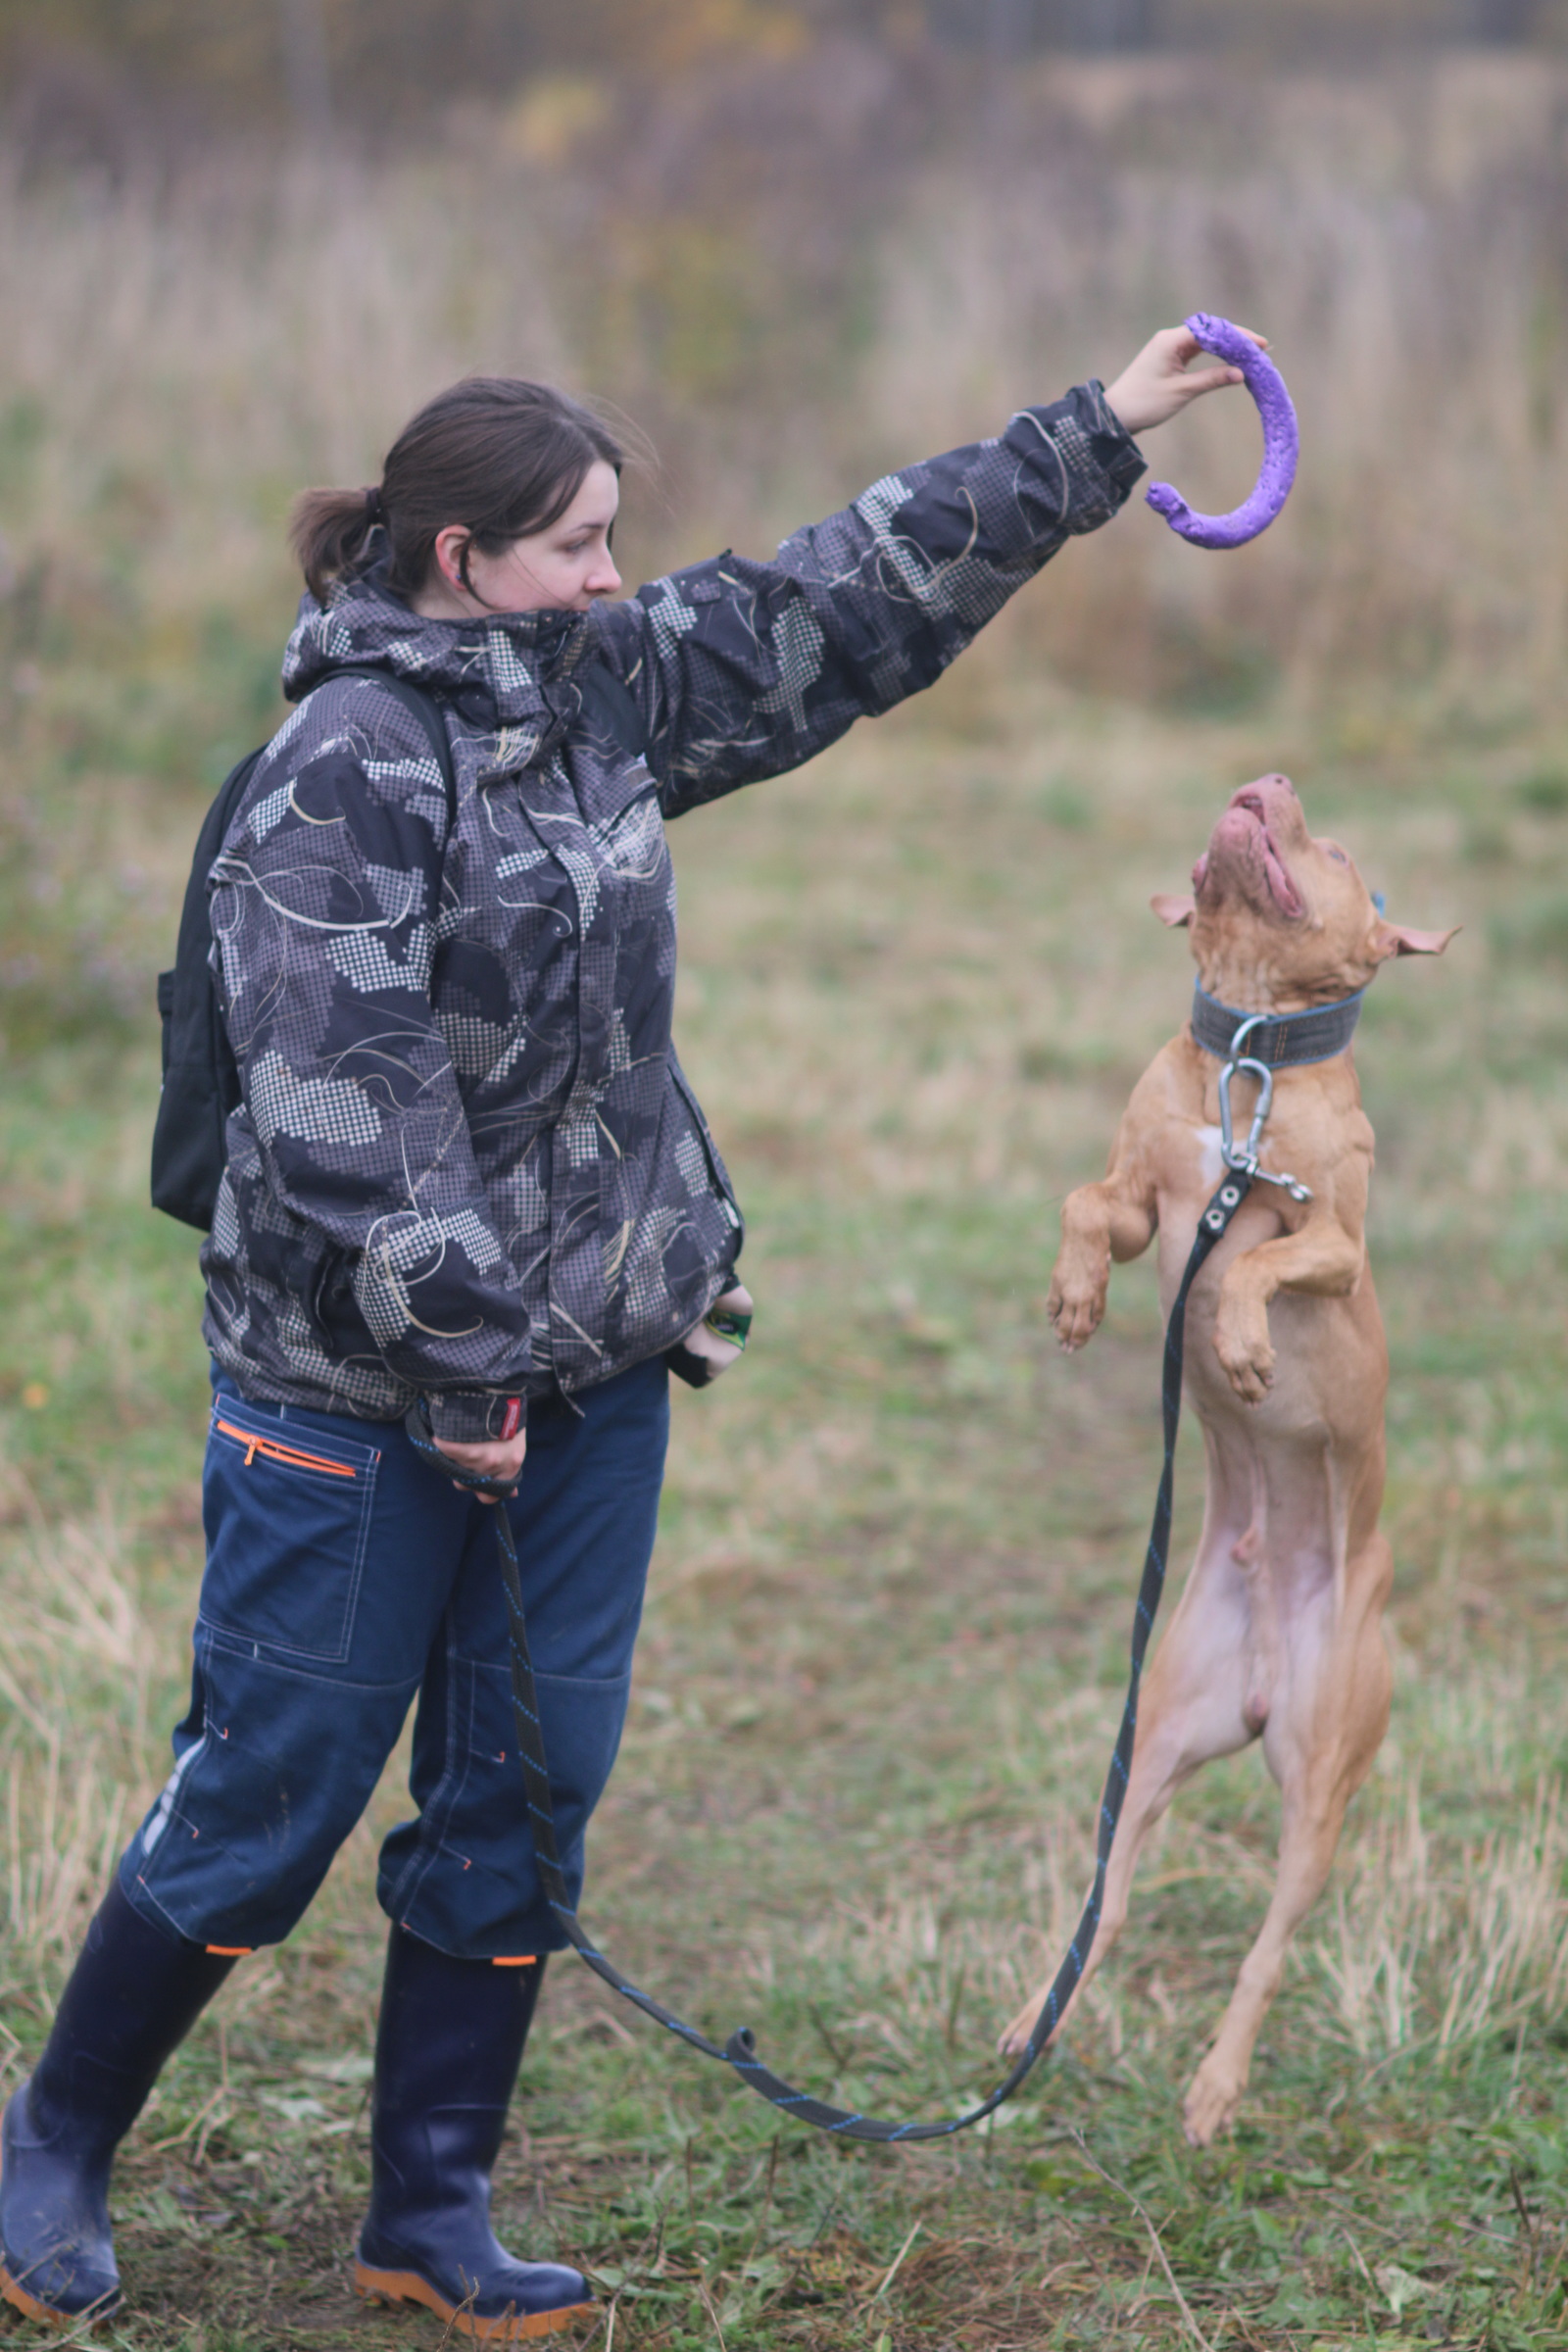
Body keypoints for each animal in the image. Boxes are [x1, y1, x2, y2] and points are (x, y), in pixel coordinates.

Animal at [1001, 780, 1457, 2144]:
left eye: (1335, 847)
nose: (1265, 789)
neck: (1245, 1056)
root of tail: (1261, 1678)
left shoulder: (1336, 1245)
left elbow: (1260, 1256)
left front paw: (1246, 1345)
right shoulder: (1143, 1199)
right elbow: (1085, 1206)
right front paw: (1076, 1298)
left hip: (1322, 1788)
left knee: (1264, 1951)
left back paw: (1213, 2088)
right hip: (1152, 1743)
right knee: (1107, 1898)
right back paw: (1031, 2020)